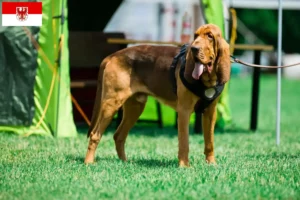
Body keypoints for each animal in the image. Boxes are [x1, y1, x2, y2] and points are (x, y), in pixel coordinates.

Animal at [84, 23, 230, 167]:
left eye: (210, 36)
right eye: (195, 35)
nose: (194, 48)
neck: (207, 79)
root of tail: (113, 55)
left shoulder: (210, 113)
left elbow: (209, 141)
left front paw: (211, 163)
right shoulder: (184, 111)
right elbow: (184, 142)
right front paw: (184, 166)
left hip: (135, 107)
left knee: (119, 135)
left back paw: (124, 162)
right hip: (111, 104)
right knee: (95, 134)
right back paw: (89, 162)